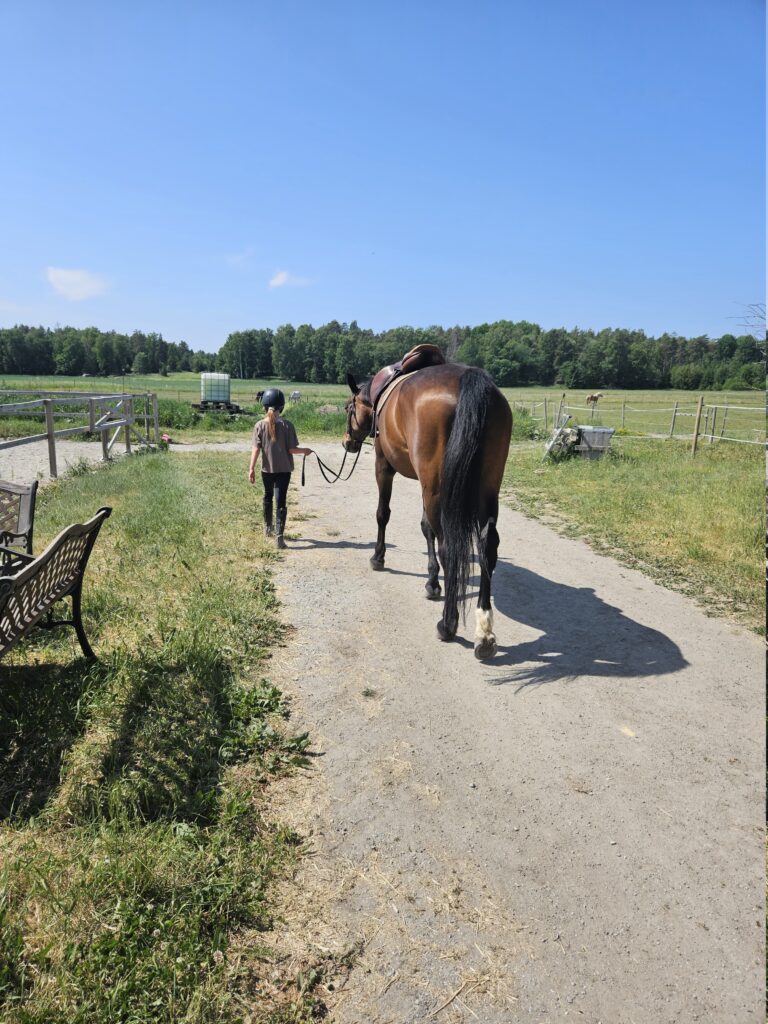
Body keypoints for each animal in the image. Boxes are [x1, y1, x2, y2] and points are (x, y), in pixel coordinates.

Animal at [346, 364, 514, 659]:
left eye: (348, 408)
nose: (347, 442)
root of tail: (470, 379)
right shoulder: (426, 487)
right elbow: (426, 528)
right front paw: (432, 581)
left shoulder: (384, 465)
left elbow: (383, 514)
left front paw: (378, 557)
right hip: (486, 489)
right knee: (487, 547)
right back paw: (484, 633)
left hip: (436, 486)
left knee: (450, 549)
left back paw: (448, 624)